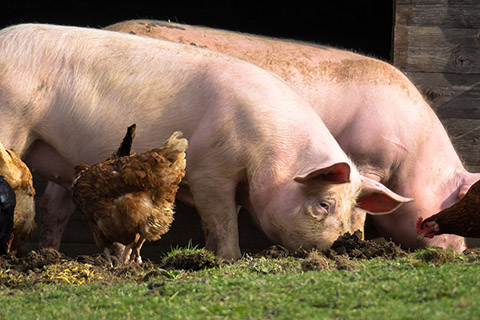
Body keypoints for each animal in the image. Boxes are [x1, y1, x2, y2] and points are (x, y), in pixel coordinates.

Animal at [0, 25, 408, 260]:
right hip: (12, 121)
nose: (344, 245)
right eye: (323, 204)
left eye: (352, 207)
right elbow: (222, 221)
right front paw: (229, 260)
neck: (269, 152)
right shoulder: (211, 171)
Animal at [103, 19, 480, 252]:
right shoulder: (366, 159)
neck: (413, 155)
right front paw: (356, 240)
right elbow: (359, 210)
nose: (461, 250)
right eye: (453, 200)